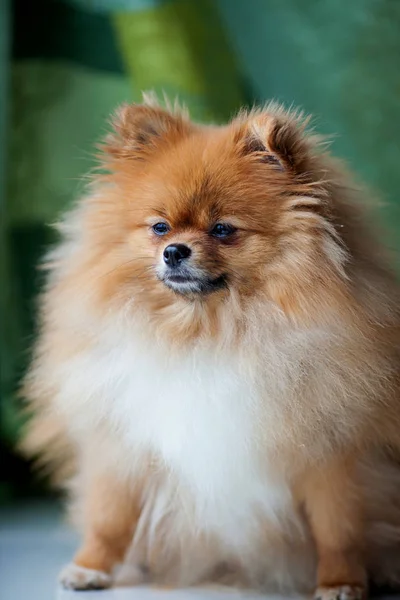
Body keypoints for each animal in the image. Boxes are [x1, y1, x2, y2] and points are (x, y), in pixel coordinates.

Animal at [21, 96, 400, 596]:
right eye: (160, 227)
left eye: (222, 230)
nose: (174, 251)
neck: (209, 331)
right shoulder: (122, 443)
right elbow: (109, 515)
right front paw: (90, 567)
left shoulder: (333, 455)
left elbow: (337, 529)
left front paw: (341, 581)